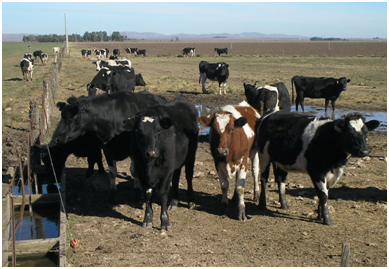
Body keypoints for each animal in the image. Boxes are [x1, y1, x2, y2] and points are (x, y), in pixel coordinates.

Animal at [123, 94, 199, 230]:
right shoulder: (140, 171)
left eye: (158, 131)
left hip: (191, 155)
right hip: (177, 162)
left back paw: (191, 199)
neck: (149, 166)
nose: (152, 153)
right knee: (176, 178)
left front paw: (165, 221)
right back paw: (174, 201)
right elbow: (148, 194)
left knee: (189, 175)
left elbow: (163, 194)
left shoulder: (166, 171)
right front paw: (147, 219)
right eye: (138, 131)